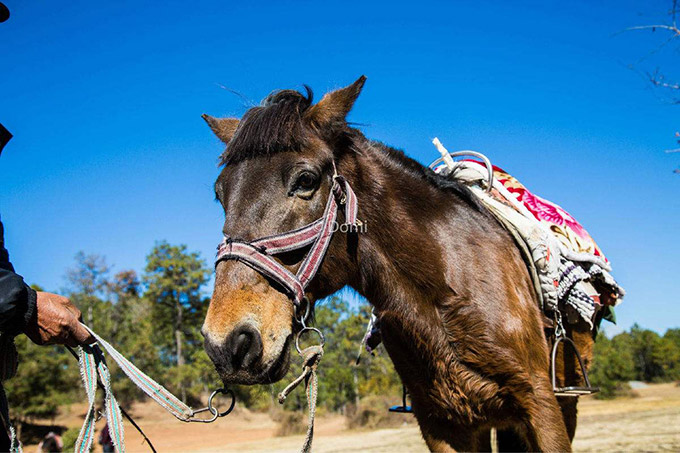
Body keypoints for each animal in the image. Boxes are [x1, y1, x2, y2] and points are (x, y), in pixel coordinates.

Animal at [200, 76, 601, 452]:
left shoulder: (541, 407)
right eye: (220, 193)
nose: (228, 343)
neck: (445, 290)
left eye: (306, 180)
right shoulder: (443, 423)